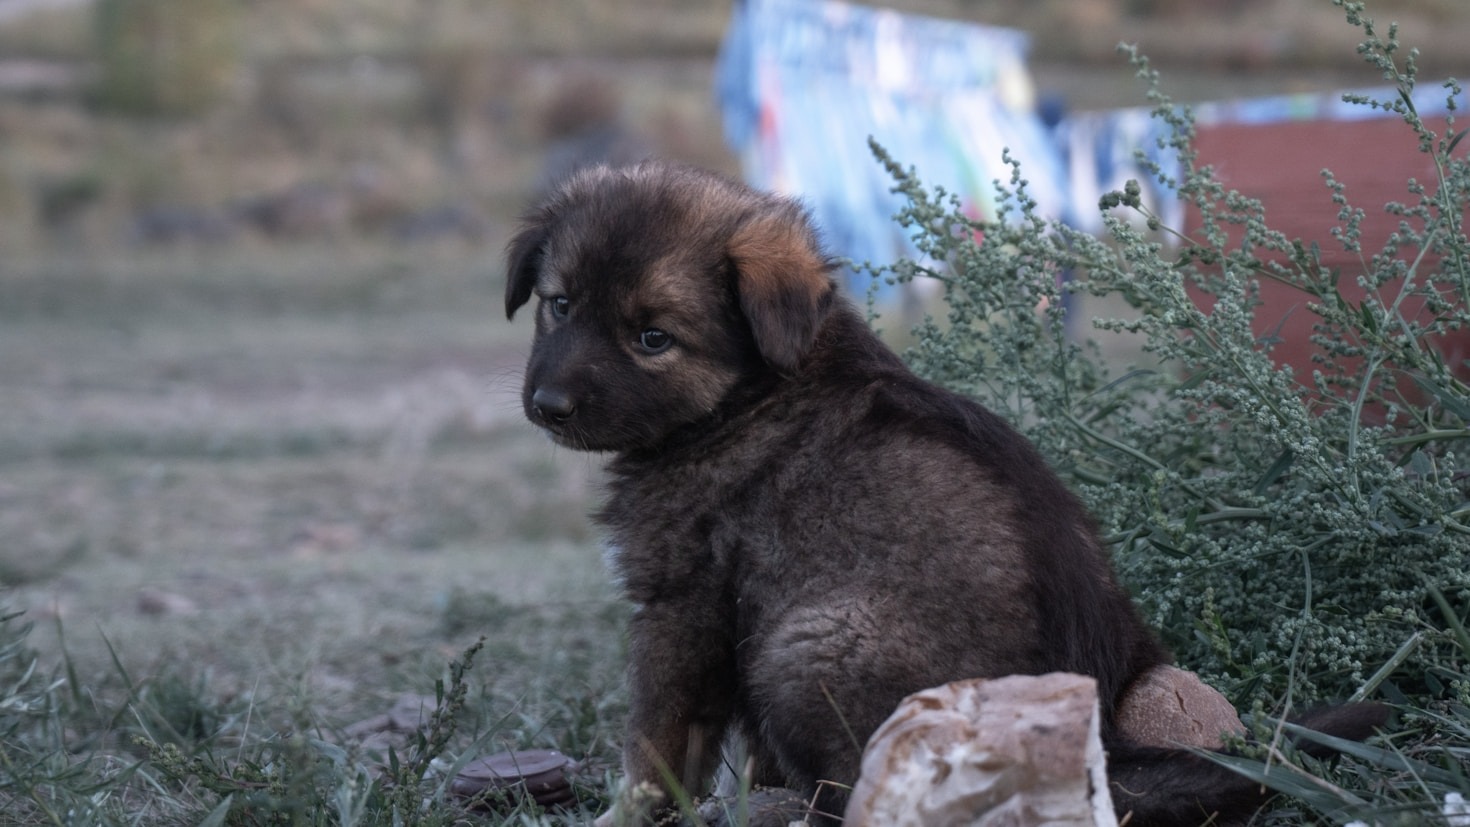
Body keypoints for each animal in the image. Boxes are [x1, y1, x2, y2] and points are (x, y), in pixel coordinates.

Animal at [502, 163, 1375, 827]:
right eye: (559, 303)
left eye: (654, 338)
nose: (546, 405)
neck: (748, 392)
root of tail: (1103, 755)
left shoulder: (685, 606)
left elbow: (658, 742)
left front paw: (628, 813)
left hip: (807, 640)